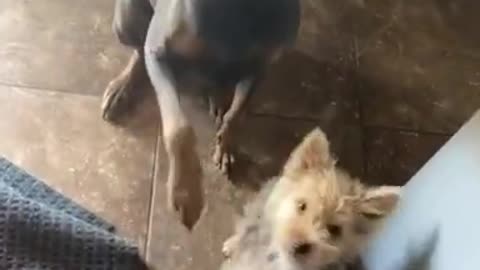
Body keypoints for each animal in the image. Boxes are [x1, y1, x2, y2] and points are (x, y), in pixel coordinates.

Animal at [101, 0, 300, 229]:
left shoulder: (261, 65)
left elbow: (237, 114)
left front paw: (226, 145)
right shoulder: (158, 50)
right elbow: (179, 129)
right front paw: (186, 193)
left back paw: (218, 97)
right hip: (125, 19)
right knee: (138, 51)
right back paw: (121, 88)